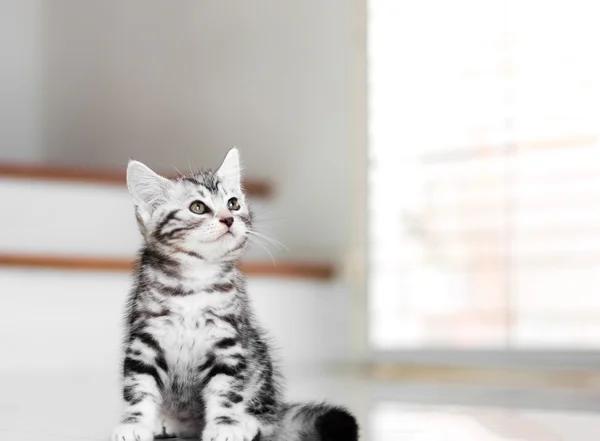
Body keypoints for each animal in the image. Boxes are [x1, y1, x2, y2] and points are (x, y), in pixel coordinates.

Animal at [110, 149, 358, 440]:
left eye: (233, 203)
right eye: (197, 207)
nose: (228, 219)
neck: (195, 282)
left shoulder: (227, 341)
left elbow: (226, 390)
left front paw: (225, 426)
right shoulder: (145, 340)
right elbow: (138, 386)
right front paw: (135, 423)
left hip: (260, 362)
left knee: (268, 418)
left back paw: (247, 422)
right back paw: (167, 420)